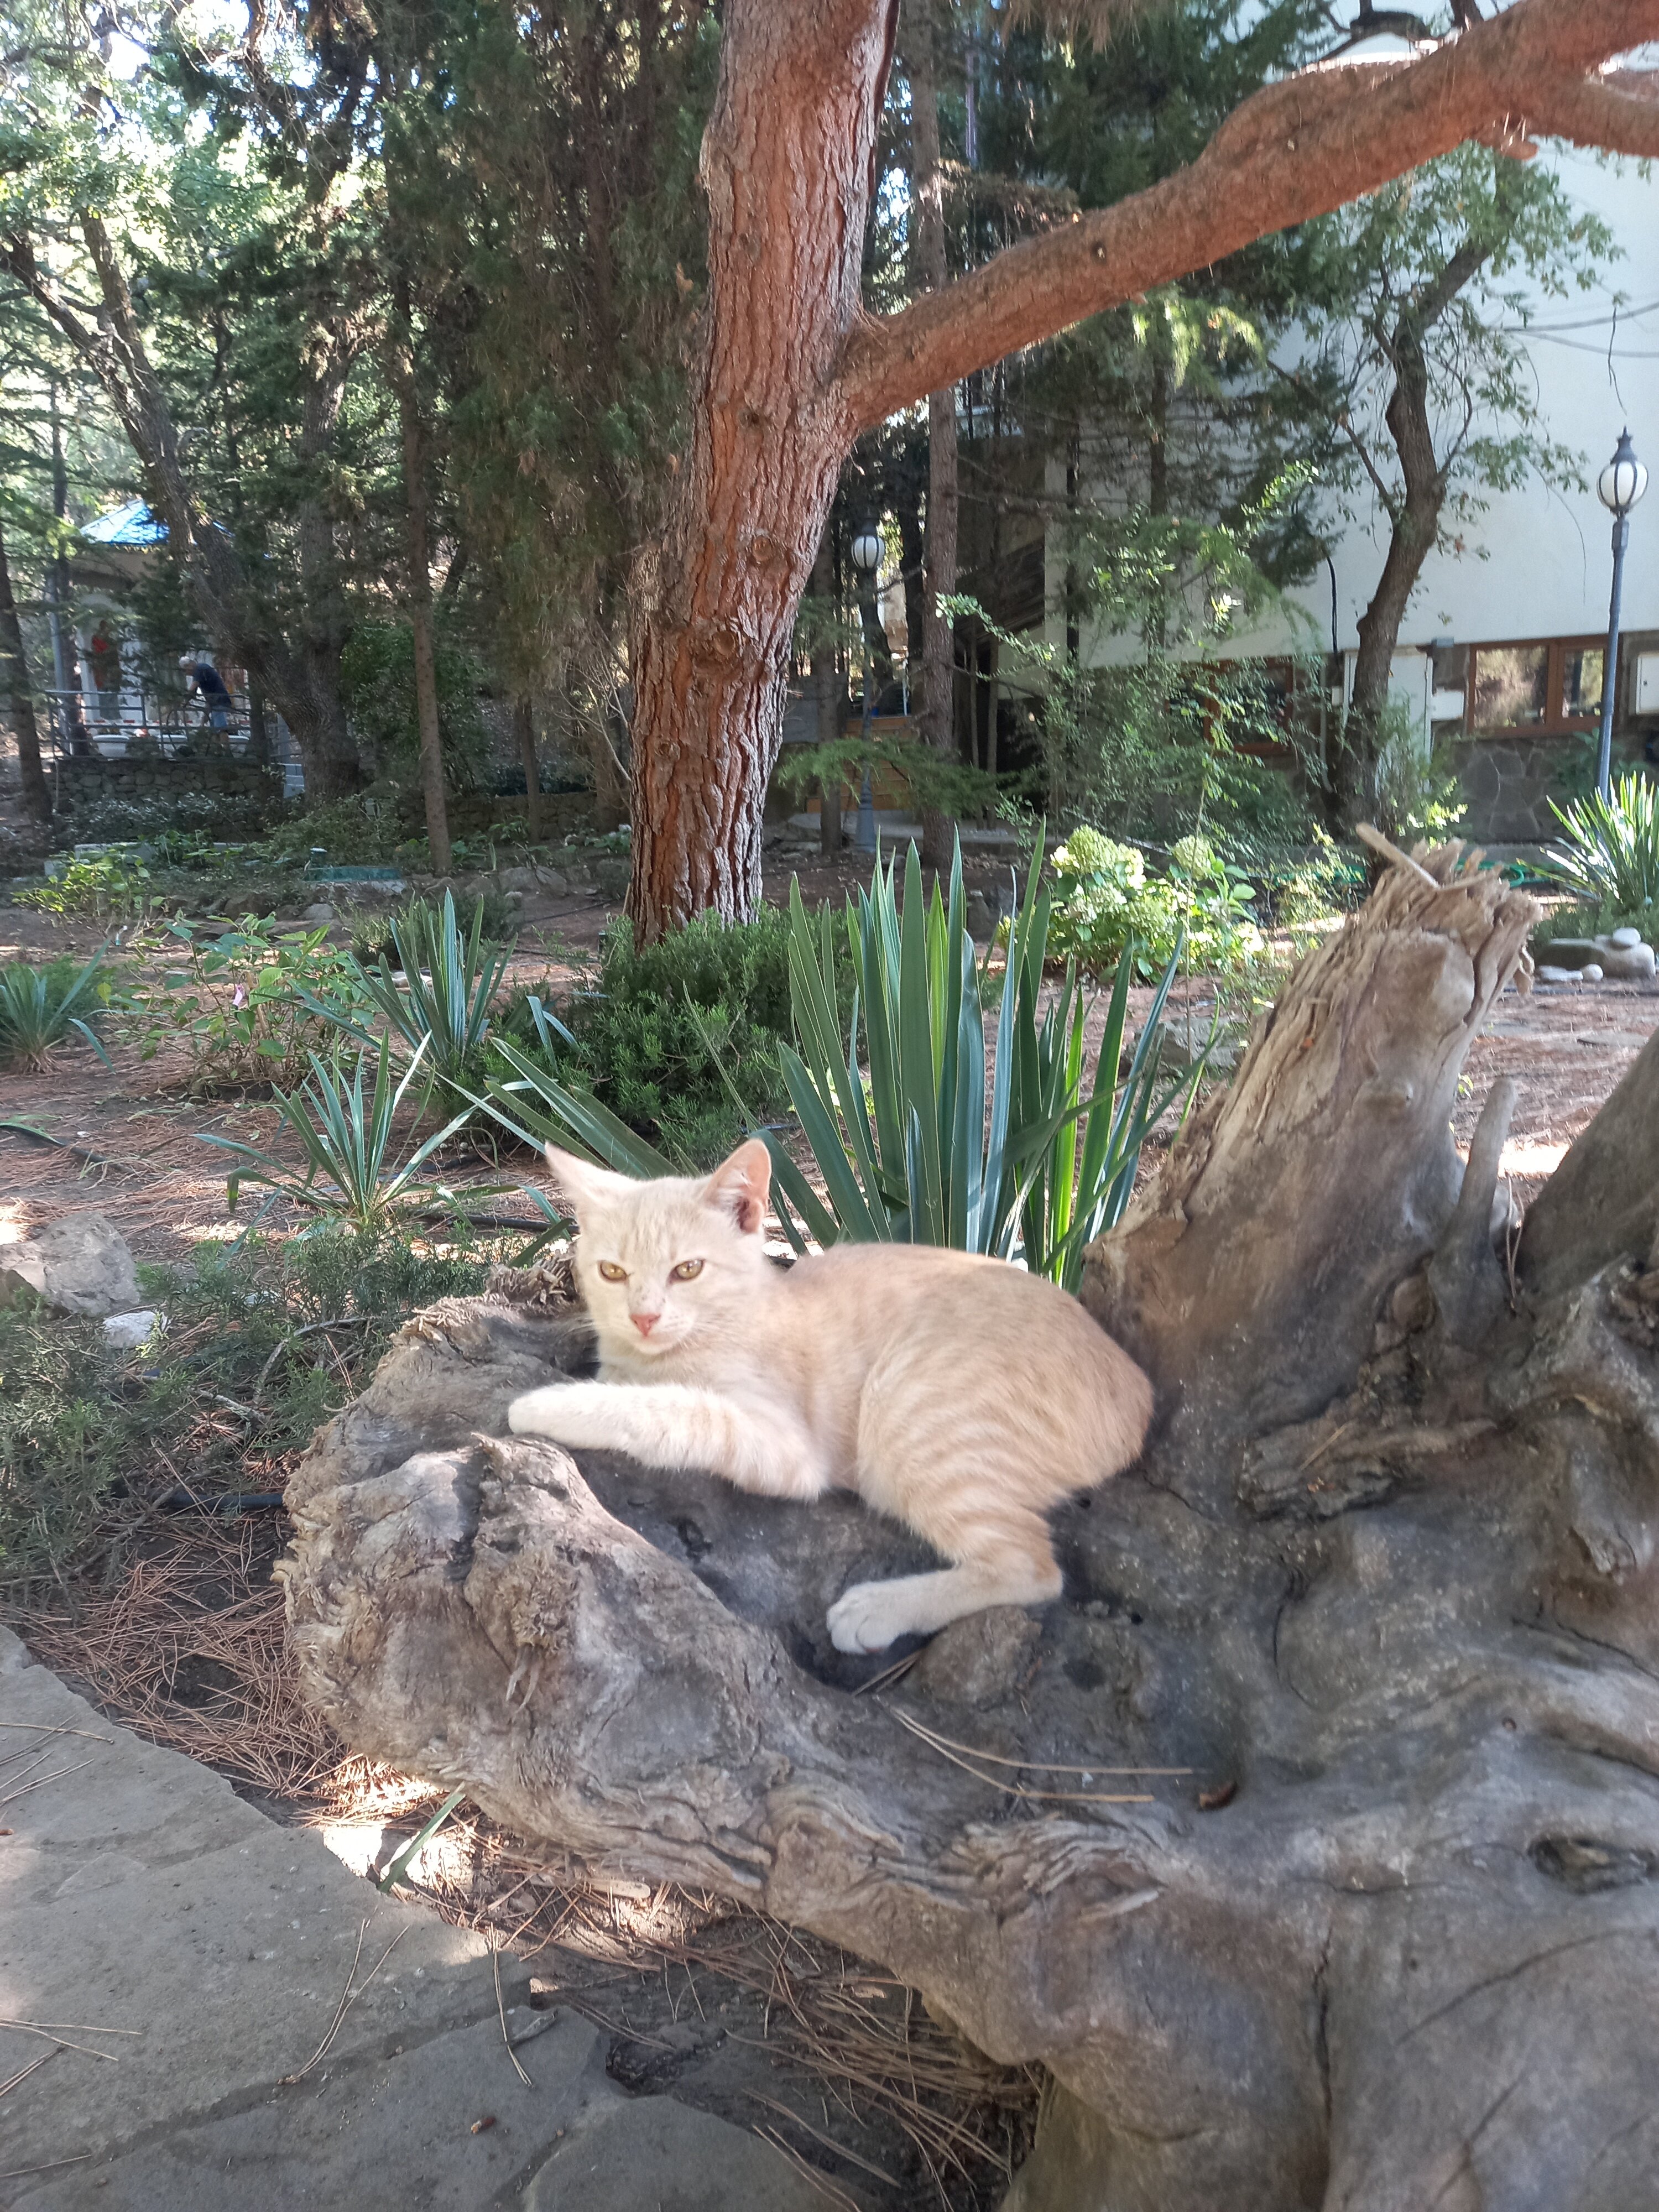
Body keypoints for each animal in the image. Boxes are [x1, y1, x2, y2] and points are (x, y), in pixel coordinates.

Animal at [507, 1140, 1154, 1653]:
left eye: (688, 1270)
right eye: (612, 1272)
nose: (644, 1317)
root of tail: (1138, 1386)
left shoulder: (786, 1449)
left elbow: (668, 1408)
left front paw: (552, 1403)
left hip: (910, 1412)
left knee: (1031, 1566)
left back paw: (880, 1608)